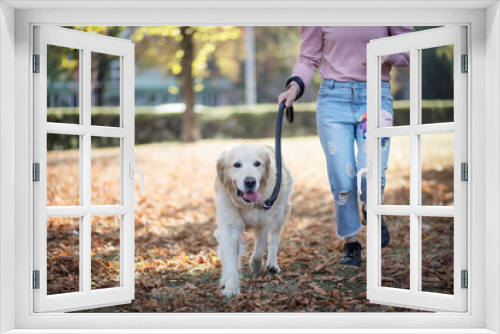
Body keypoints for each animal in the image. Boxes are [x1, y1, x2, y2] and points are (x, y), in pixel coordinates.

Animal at [215, 144, 292, 298]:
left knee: (274, 239)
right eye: (237, 165)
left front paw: (255, 266)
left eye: (257, 163)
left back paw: (272, 264)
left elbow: (258, 251)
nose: (250, 181)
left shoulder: (264, 222)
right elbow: (230, 259)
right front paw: (231, 287)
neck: (246, 205)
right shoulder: (229, 226)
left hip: (280, 212)